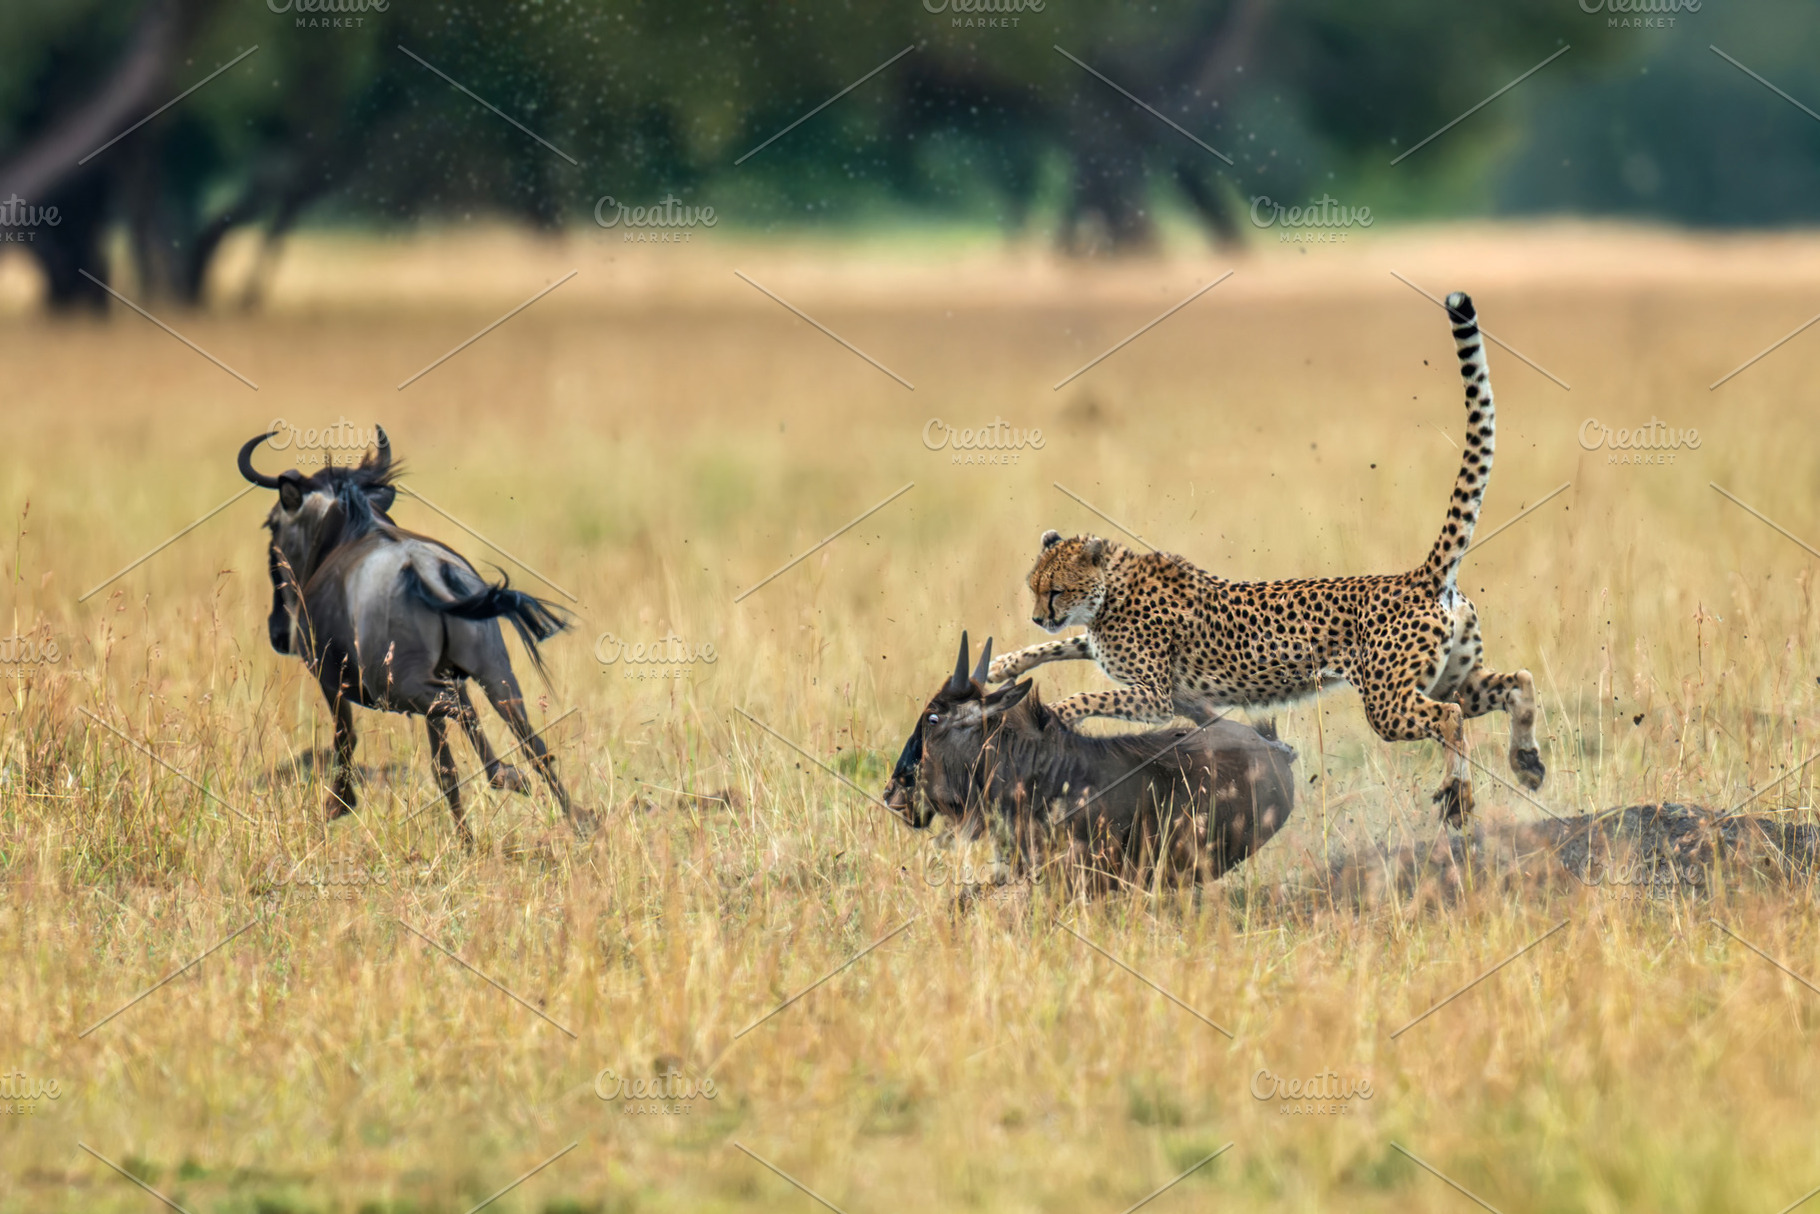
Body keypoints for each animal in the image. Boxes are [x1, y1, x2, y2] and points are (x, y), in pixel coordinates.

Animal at [237, 427, 587, 843]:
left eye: (272, 524)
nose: (278, 633)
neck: (349, 528)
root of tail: (429, 570)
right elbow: (445, 767)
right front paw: (466, 840)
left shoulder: (329, 678)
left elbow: (345, 737)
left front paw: (339, 803)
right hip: (494, 672)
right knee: (530, 741)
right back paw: (581, 822)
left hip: (398, 685)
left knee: (462, 710)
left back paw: (506, 777)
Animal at [988, 291, 1543, 825]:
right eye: (1033, 588)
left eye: (1057, 590)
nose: (1038, 616)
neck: (1111, 591)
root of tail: (1420, 577)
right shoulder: (1153, 680)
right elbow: (1067, 645)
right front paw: (1002, 664)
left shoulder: (1154, 696)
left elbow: (1088, 693)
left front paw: (1055, 712)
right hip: (1454, 675)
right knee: (1515, 682)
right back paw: (1527, 762)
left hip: (1388, 702)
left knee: (1449, 716)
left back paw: (1460, 795)